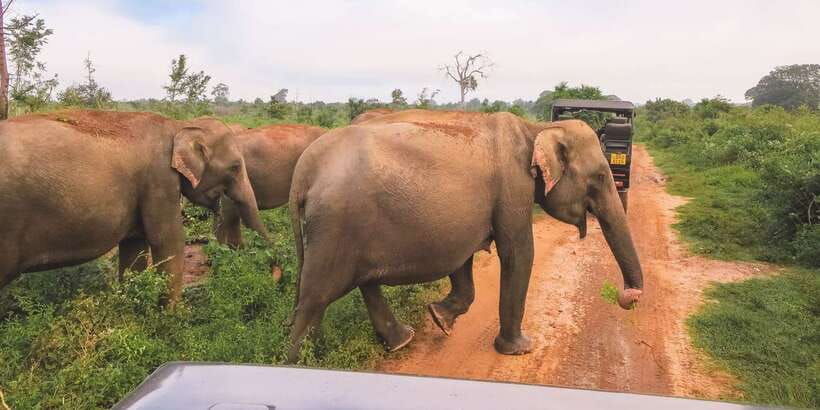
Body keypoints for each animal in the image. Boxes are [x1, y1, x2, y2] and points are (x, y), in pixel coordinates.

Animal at [0, 110, 267, 303]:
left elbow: (135, 247)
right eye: (235, 167)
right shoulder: (159, 179)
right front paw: (174, 321)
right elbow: (167, 242)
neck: (179, 126)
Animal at [285, 109, 643, 362]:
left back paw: (401, 341)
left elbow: (463, 260)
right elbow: (518, 253)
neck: (536, 128)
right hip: (334, 224)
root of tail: (303, 172)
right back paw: (299, 363)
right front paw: (519, 349)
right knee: (314, 299)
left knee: (361, 282)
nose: (628, 297)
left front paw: (440, 318)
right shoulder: (513, 187)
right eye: (600, 176)